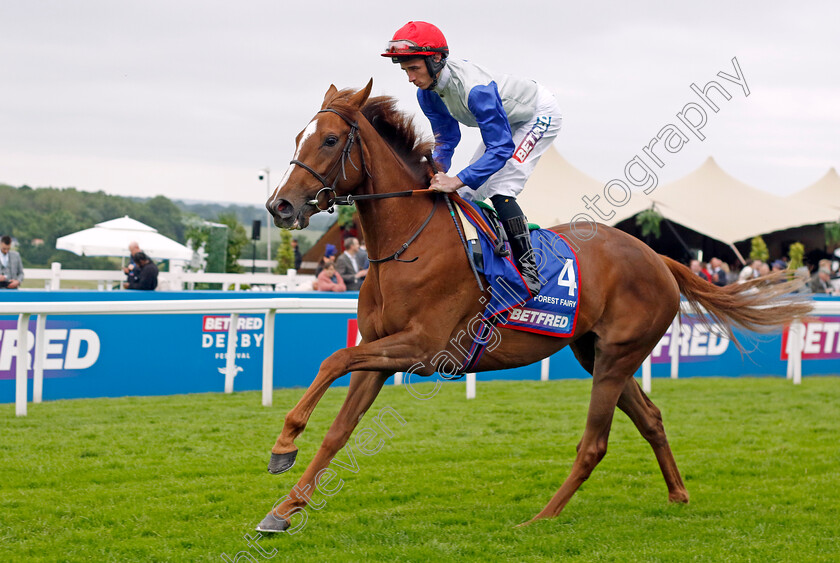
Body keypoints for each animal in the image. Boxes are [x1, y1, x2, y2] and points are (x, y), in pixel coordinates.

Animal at [260, 80, 812, 532]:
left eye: (330, 140)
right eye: (298, 137)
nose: (279, 206)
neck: (408, 243)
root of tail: (658, 257)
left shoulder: (423, 347)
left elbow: (333, 359)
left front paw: (284, 444)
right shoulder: (379, 349)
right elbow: (338, 428)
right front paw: (283, 508)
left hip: (617, 356)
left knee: (594, 443)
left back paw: (542, 517)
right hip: (597, 353)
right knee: (651, 418)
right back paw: (677, 495)